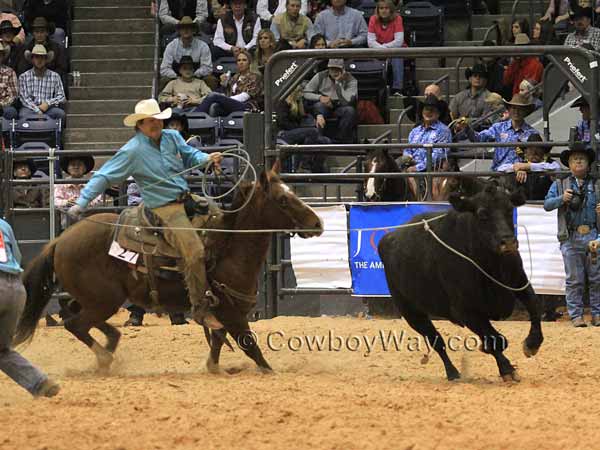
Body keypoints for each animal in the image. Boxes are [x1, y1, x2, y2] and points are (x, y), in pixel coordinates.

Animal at [14, 163, 324, 374]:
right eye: (283, 200)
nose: (317, 223)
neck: (228, 247)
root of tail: (59, 240)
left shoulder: (226, 314)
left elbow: (217, 343)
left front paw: (215, 369)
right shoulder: (231, 313)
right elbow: (251, 346)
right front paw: (269, 371)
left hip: (95, 298)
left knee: (71, 311)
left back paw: (110, 345)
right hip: (104, 299)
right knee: (75, 323)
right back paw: (105, 357)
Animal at [380, 181, 544, 382]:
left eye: (509, 208)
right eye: (482, 213)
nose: (508, 243)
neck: (491, 264)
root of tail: (388, 238)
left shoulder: (519, 282)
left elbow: (534, 306)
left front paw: (532, 343)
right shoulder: (466, 311)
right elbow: (494, 340)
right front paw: (507, 369)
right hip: (410, 311)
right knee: (437, 342)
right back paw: (452, 372)